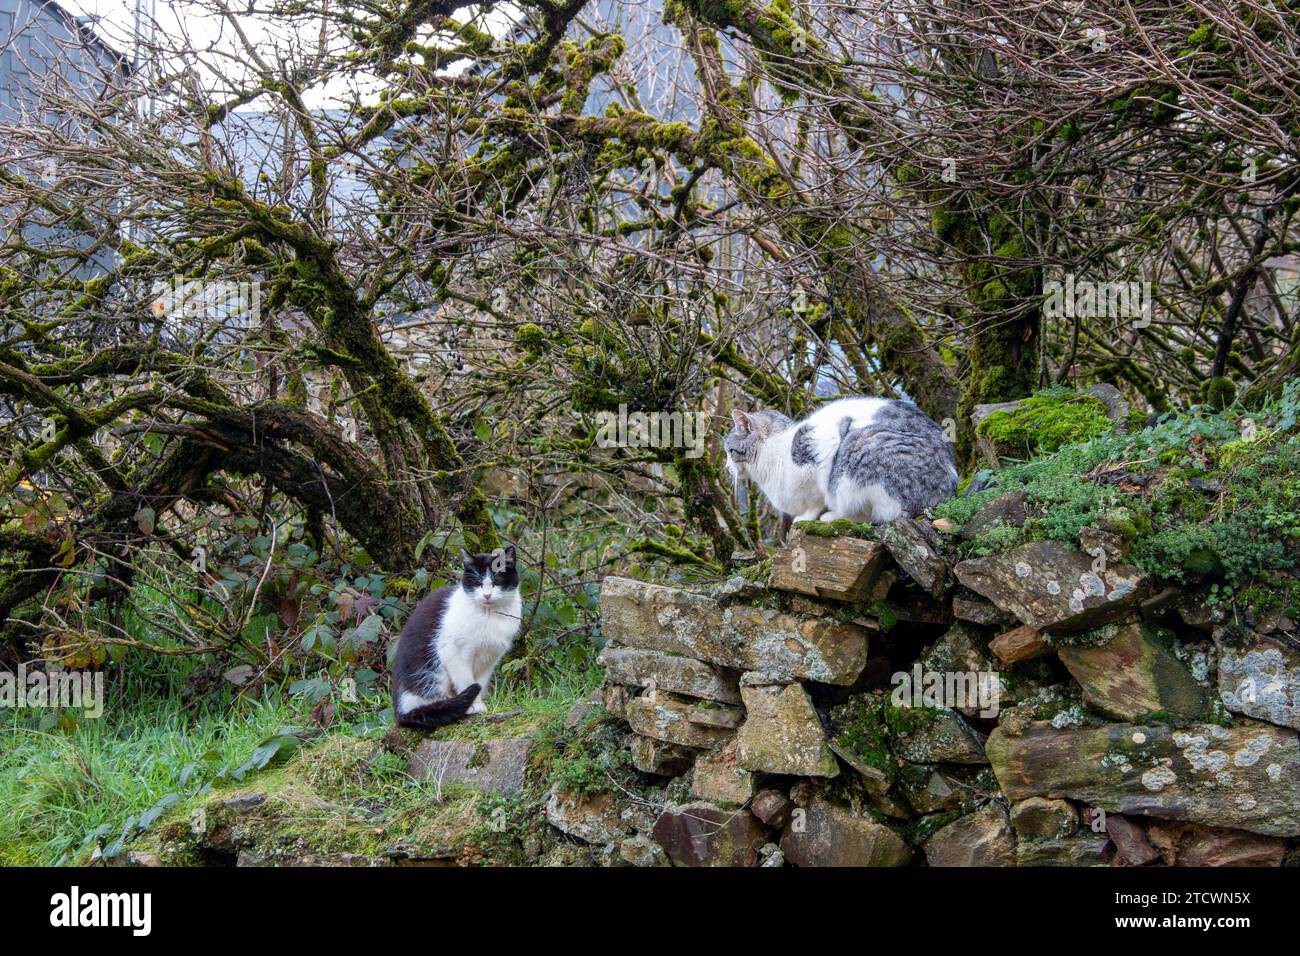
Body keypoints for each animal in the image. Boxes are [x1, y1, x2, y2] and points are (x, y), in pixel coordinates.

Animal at [390, 548, 522, 728]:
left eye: (497, 581)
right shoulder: (454, 652)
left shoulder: (490, 657)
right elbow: (466, 681)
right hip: (432, 673)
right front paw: (474, 705)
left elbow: (480, 682)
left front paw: (478, 703)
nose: (487, 595)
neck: (489, 615)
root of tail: (400, 714)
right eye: (478, 583)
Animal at [728, 400, 961, 528]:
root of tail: (948, 494)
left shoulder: (821, 448)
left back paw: (832, 516)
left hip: (857, 449)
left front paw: (805, 518)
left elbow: (815, 500)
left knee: (884, 513)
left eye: (729, 451)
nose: (727, 468)